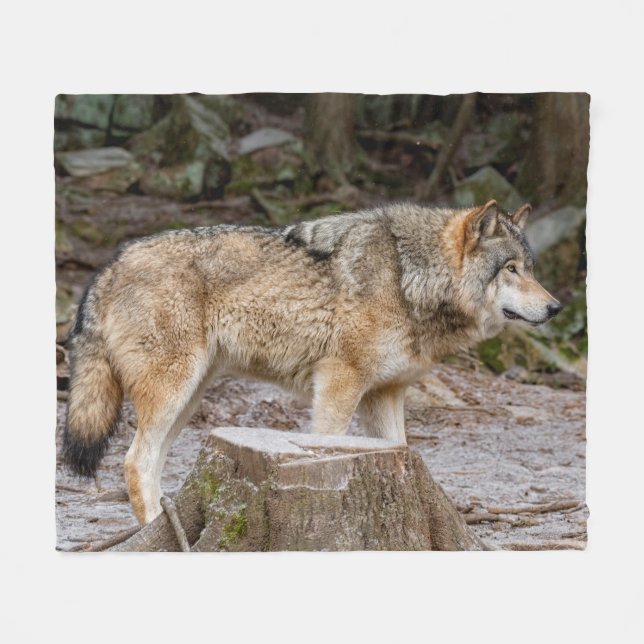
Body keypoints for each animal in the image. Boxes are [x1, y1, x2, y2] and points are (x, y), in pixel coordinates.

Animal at [63, 199, 562, 524]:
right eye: (511, 269)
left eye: (532, 269)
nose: (556, 307)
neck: (408, 278)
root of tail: (111, 263)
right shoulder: (340, 382)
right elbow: (328, 446)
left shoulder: (386, 394)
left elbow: (401, 451)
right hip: (173, 391)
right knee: (134, 463)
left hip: (188, 398)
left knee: (151, 465)